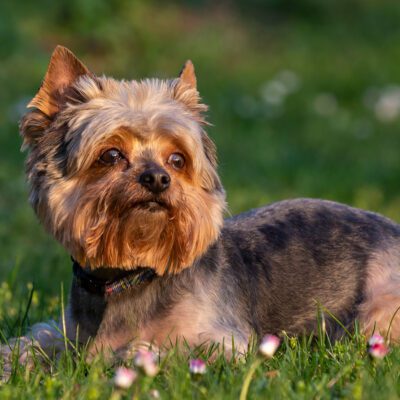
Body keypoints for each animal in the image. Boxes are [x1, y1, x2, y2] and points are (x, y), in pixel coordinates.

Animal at [2, 46, 400, 368]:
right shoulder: (66, 329)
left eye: (177, 159)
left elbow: (161, 349)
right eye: (110, 155)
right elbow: (36, 341)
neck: (130, 276)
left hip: (376, 313)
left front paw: (122, 355)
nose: (157, 178)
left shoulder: (224, 344)